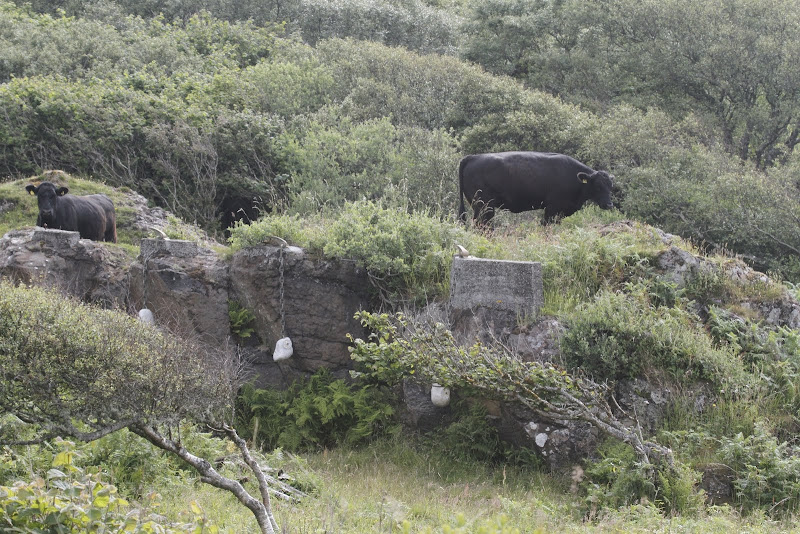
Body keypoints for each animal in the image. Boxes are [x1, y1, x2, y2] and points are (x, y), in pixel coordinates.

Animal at [458, 151, 615, 225]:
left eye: (611, 186)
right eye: (598, 186)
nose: (609, 204)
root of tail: (473, 157)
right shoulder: (552, 208)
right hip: (484, 206)